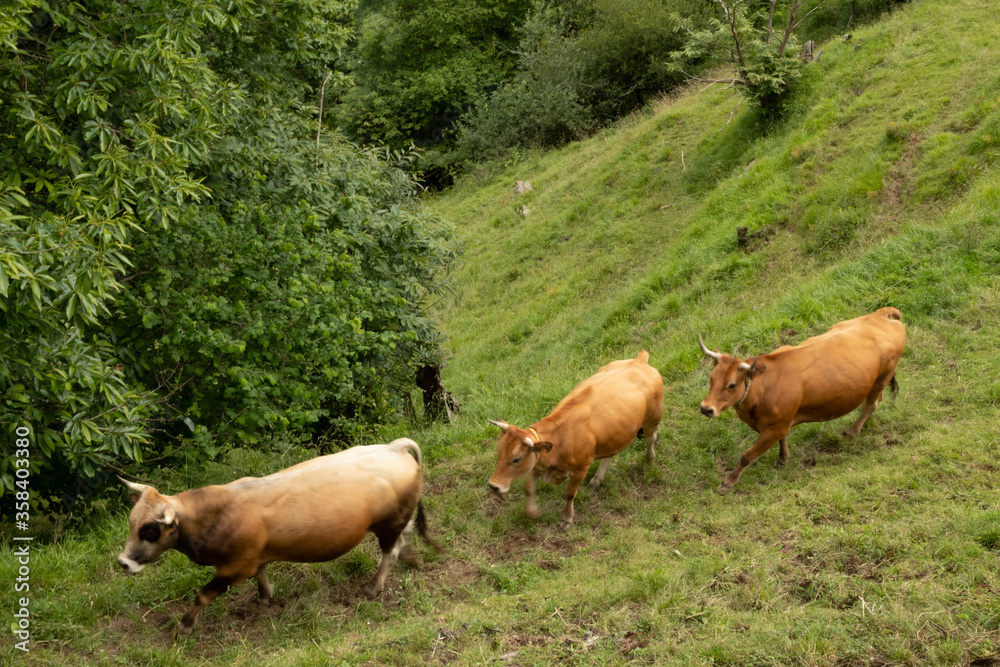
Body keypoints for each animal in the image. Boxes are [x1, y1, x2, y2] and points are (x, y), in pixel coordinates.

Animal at [116, 438, 433, 636]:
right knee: (403, 538)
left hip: (388, 525)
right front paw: (265, 597)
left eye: (149, 530)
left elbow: (203, 595)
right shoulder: (255, 559)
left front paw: (185, 625)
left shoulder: (235, 567)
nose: (123, 562)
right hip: (398, 520)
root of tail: (393, 447)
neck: (216, 514)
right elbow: (262, 575)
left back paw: (374, 586)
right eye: (132, 522)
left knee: (389, 552)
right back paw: (410, 559)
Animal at [486, 350, 664, 527]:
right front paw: (532, 512)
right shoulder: (536, 462)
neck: (560, 439)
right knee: (610, 454)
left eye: (516, 459)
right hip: (615, 432)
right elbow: (529, 488)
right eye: (499, 453)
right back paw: (597, 479)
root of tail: (639, 360)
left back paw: (650, 459)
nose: (493, 486)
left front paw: (567, 518)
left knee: (650, 438)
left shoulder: (581, 468)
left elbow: (570, 493)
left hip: (652, 419)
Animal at [698, 307, 906, 493]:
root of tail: (881, 315)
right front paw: (783, 459)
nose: (705, 408)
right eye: (711, 378)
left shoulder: (774, 428)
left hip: (882, 378)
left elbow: (747, 456)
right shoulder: (781, 424)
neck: (762, 388)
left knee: (871, 405)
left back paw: (853, 430)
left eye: (732, 385)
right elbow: (783, 440)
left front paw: (728, 482)